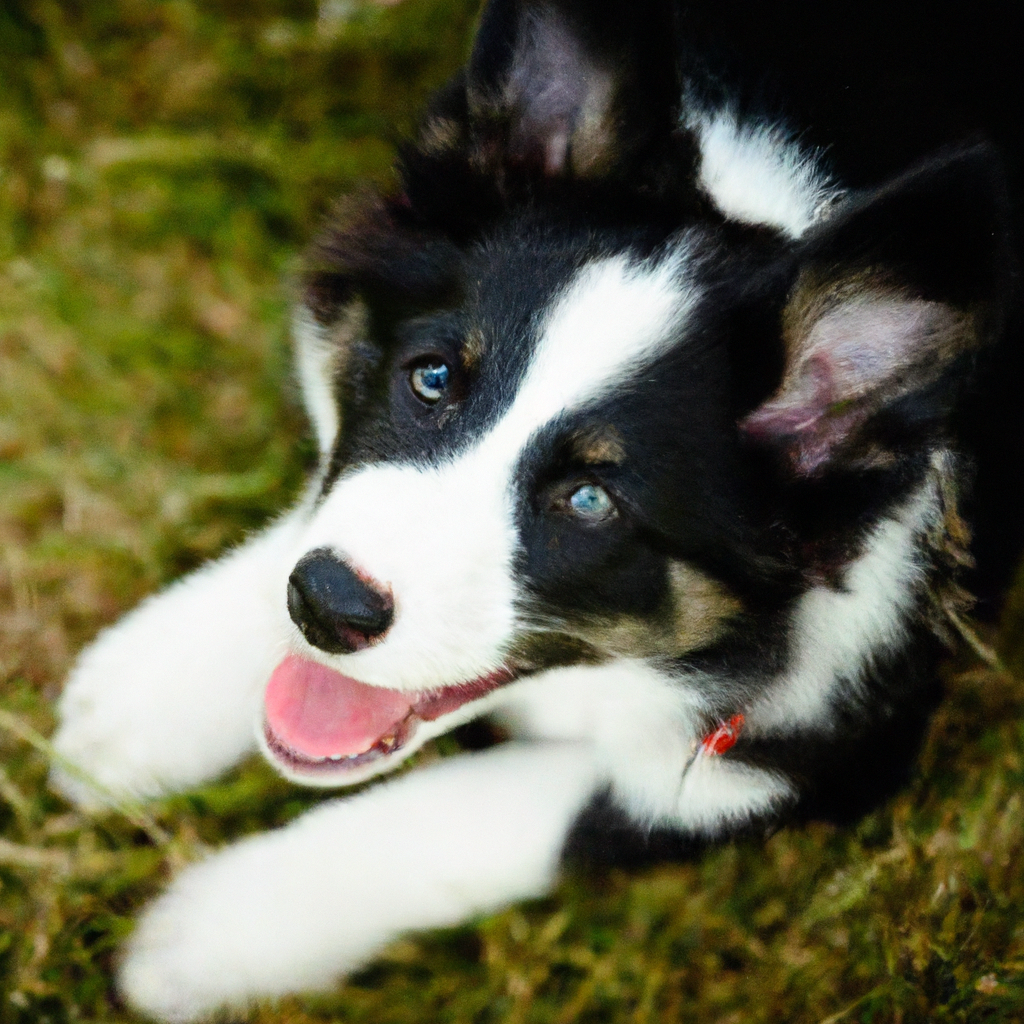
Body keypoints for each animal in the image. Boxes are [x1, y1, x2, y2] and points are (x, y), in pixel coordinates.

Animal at [54, 0, 1024, 1019]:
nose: (326, 607)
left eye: (590, 501)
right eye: (431, 378)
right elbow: (330, 496)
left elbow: (514, 806)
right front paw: (149, 695)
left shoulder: (828, 744)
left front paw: (210, 934)